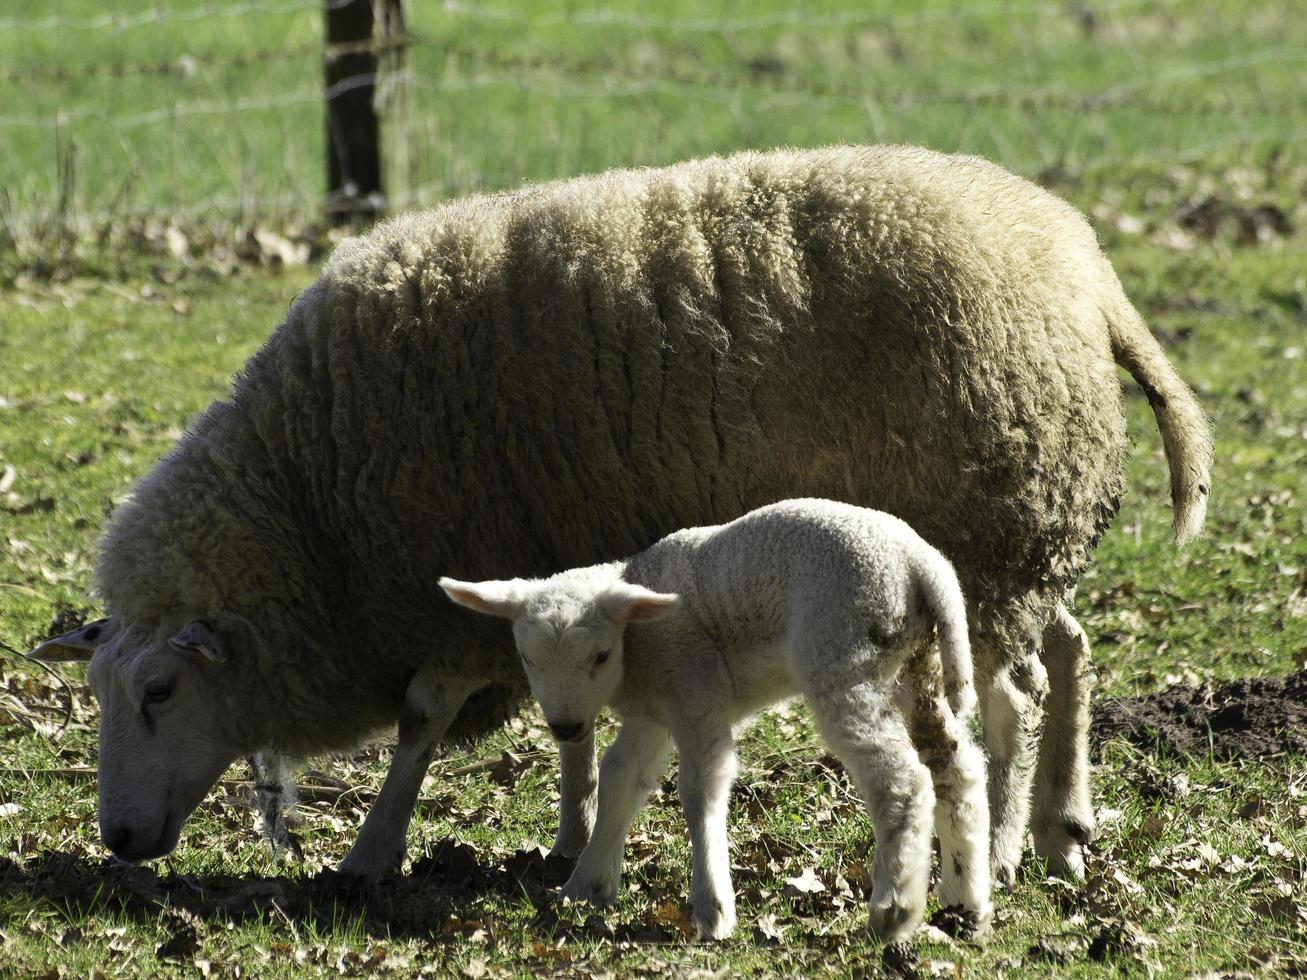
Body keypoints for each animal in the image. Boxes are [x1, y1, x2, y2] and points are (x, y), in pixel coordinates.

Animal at [30, 145, 1212, 888]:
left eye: (160, 690)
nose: (118, 837)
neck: (311, 499)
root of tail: (1086, 271)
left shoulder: (448, 577)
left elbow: (419, 723)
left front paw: (372, 851)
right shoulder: (540, 574)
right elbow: (570, 719)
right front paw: (568, 828)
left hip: (992, 528)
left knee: (1010, 701)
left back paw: (1002, 849)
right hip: (1022, 536)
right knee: (1069, 651)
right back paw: (1062, 829)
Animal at [441, 501, 988, 946]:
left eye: (600, 656)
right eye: (527, 659)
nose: (567, 729)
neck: (636, 639)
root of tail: (923, 564)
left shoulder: (693, 691)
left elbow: (700, 787)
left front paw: (713, 909)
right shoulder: (653, 713)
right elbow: (621, 779)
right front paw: (585, 887)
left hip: (845, 650)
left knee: (902, 781)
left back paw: (894, 911)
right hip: (915, 663)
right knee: (954, 768)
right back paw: (967, 902)